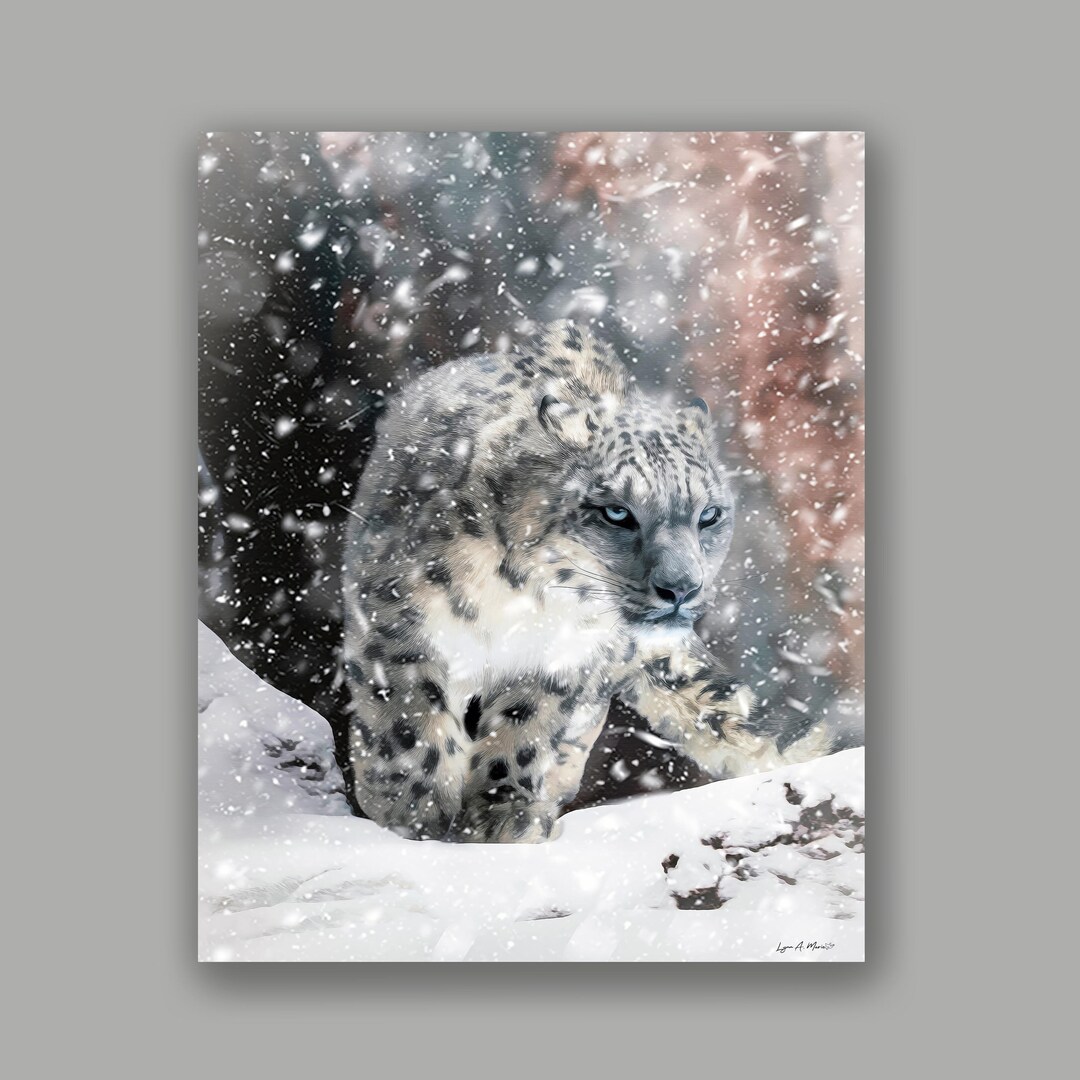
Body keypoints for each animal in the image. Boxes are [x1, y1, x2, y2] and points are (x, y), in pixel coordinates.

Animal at [340, 321, 831, 843]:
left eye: (709, 515)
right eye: (616, 512)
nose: (681, 588)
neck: (523, 597)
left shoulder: (562, 659)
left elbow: (525, 729)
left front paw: (503, 815)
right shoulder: (399, 620)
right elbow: (411, 718)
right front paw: (414, 810)